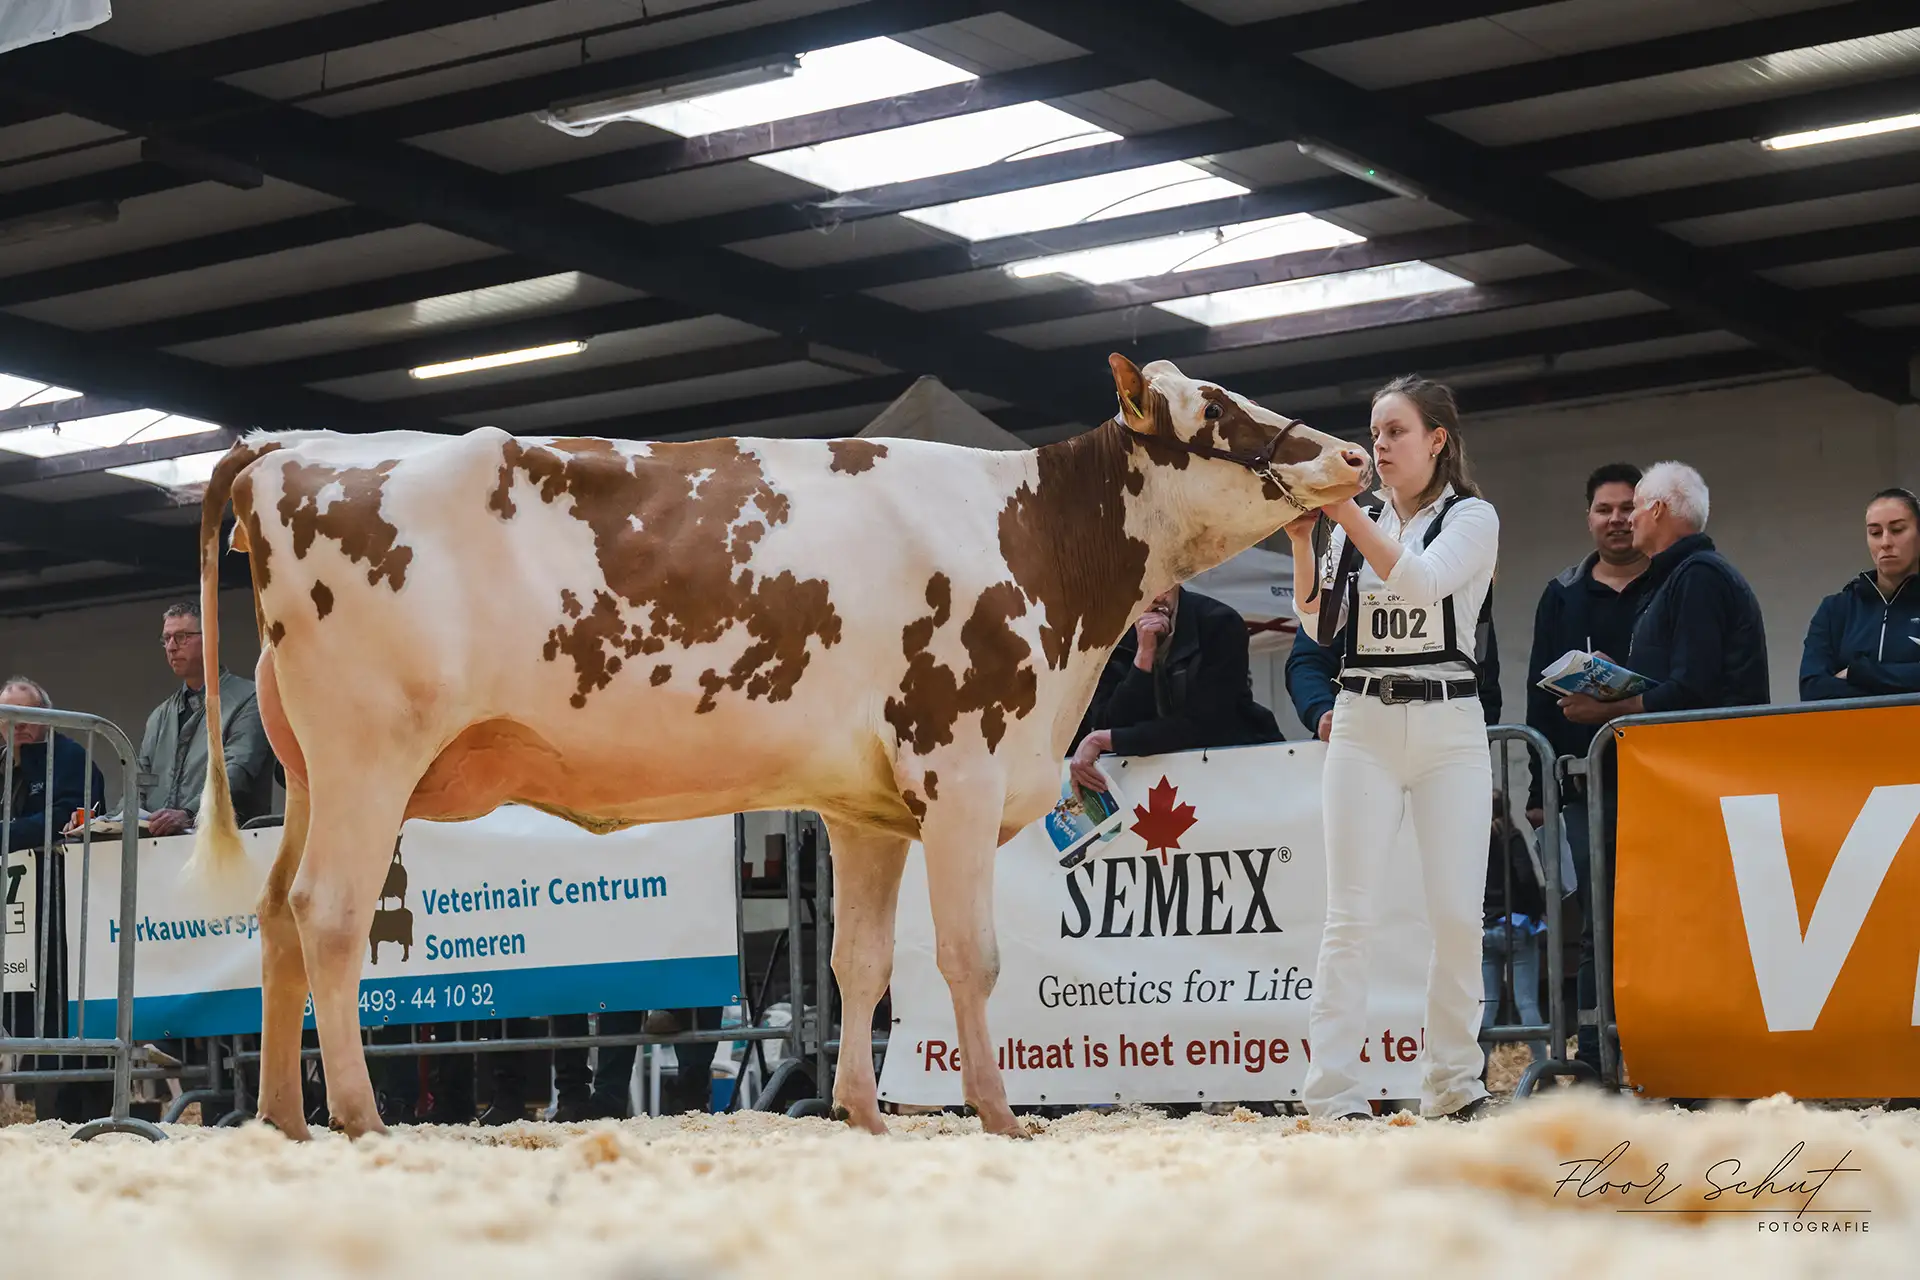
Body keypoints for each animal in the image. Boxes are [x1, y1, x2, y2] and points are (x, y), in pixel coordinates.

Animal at [186, 354, 1368, 1140]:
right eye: (1219, 410)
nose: (1354, 451)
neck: (1032, 541)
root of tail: (285, 448)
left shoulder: (865, 806)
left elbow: (861, 962)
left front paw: (862, 1115)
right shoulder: (962, 768)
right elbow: (968, 955)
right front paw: (997, 1116)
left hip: (309, 769)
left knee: (275, 917)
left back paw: (284, 1121)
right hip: (370, 755)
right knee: (328, 914)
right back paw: (358, 1116)